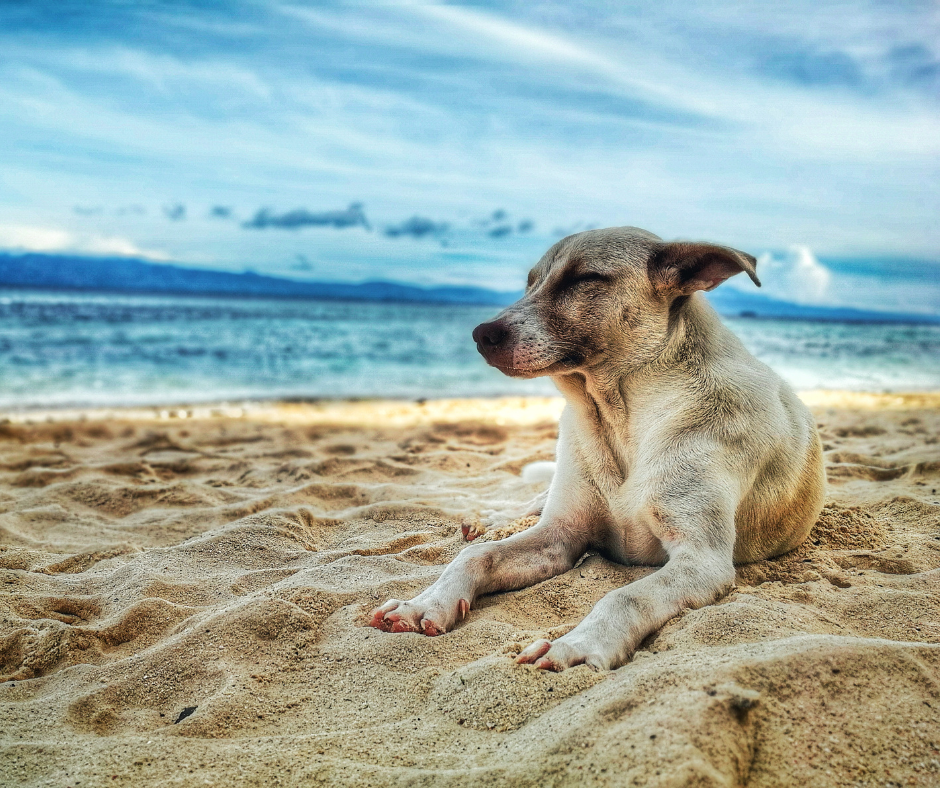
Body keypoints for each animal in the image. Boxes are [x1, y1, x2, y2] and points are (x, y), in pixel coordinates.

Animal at [368, 226, 824, 672]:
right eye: (530, 282)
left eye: (583, 279)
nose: (482, 334)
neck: (617, 418)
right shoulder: (560, 534)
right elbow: (476, 557)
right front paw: (426, 603)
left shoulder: (701, 560)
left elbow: (625, 596)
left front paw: (577, 645)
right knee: (527, 506)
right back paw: (493, 519)